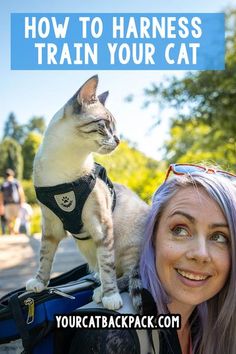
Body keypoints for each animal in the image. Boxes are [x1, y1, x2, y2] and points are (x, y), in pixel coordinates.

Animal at [26, 75, 149, 310]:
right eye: (105, 125)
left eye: (114, 128)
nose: (118, 140)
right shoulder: (50, 226)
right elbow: (45, 257)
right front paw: (39, 283)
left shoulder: (101, 225)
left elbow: (108, 266)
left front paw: (110, 297)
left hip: (129, 247)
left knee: (127, 276)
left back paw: (101, 292)